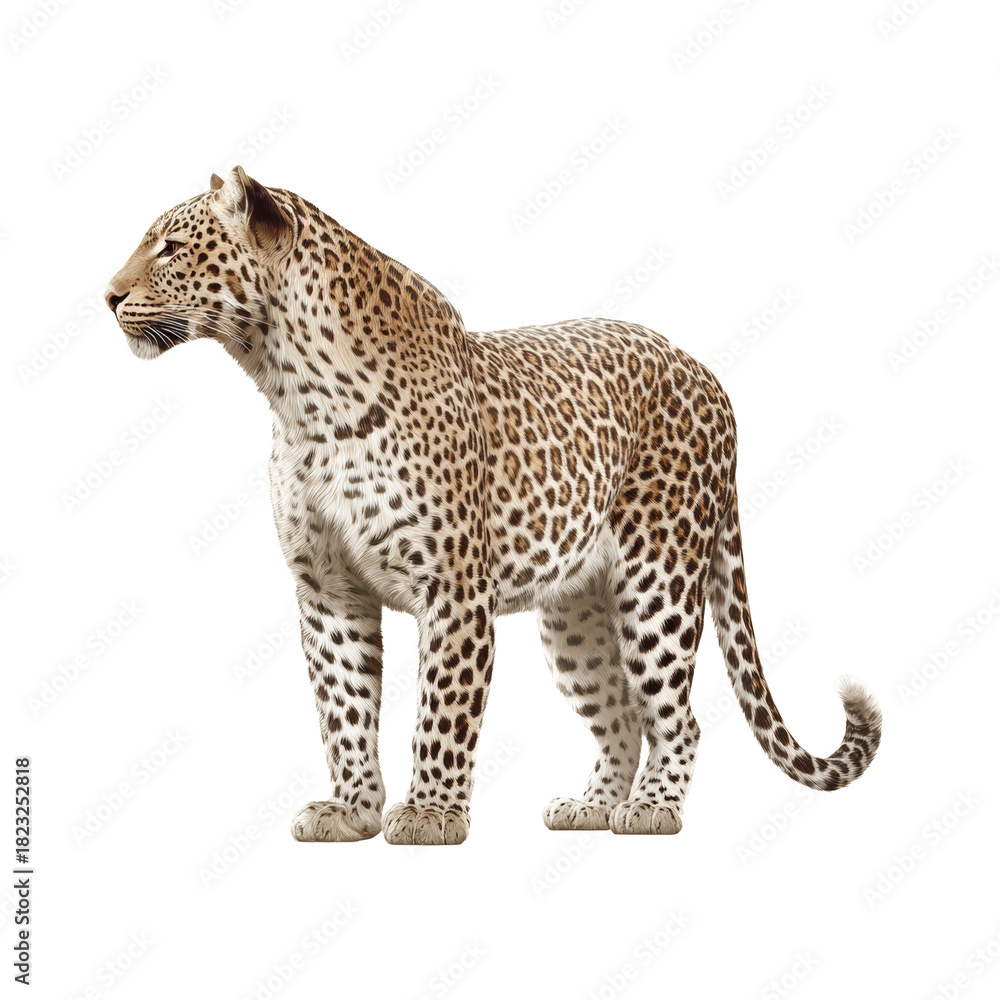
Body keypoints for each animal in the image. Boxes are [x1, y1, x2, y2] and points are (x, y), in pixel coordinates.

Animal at [105, 167, 882, 845]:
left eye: (169, 248)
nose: (108, 296)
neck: (292, 388)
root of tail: (708, 374)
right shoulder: (327, 588)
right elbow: (343, 709)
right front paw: (352, 811)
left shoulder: (453, 587)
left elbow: (441, 710)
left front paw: (429, 815)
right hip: (574, 614)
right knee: (622, 715)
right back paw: (593, 805)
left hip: (658, 581)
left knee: (675, 716)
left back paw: (654, 807)